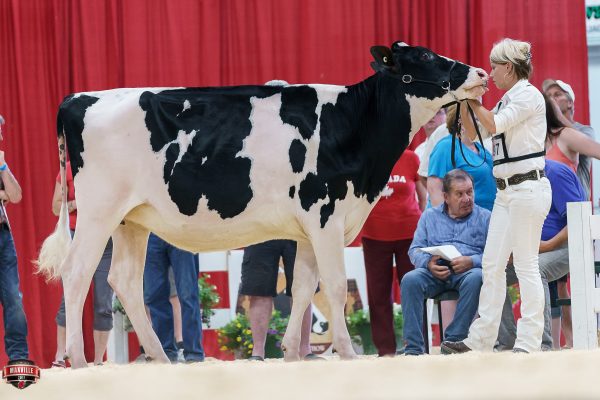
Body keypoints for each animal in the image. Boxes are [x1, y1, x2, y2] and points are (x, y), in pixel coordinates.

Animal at [36, 42, 487, 368]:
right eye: (425, 56)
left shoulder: (309, 226)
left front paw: (290, 352)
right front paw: (347, 352)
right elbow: (334, 285)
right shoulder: (326, 214)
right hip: (98, 210)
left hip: (131, 220)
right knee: (77, 272)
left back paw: (161, 358)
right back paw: (78, 360)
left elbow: (304, 285)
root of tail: (79, 98)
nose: (481, 73)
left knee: (125, 280)